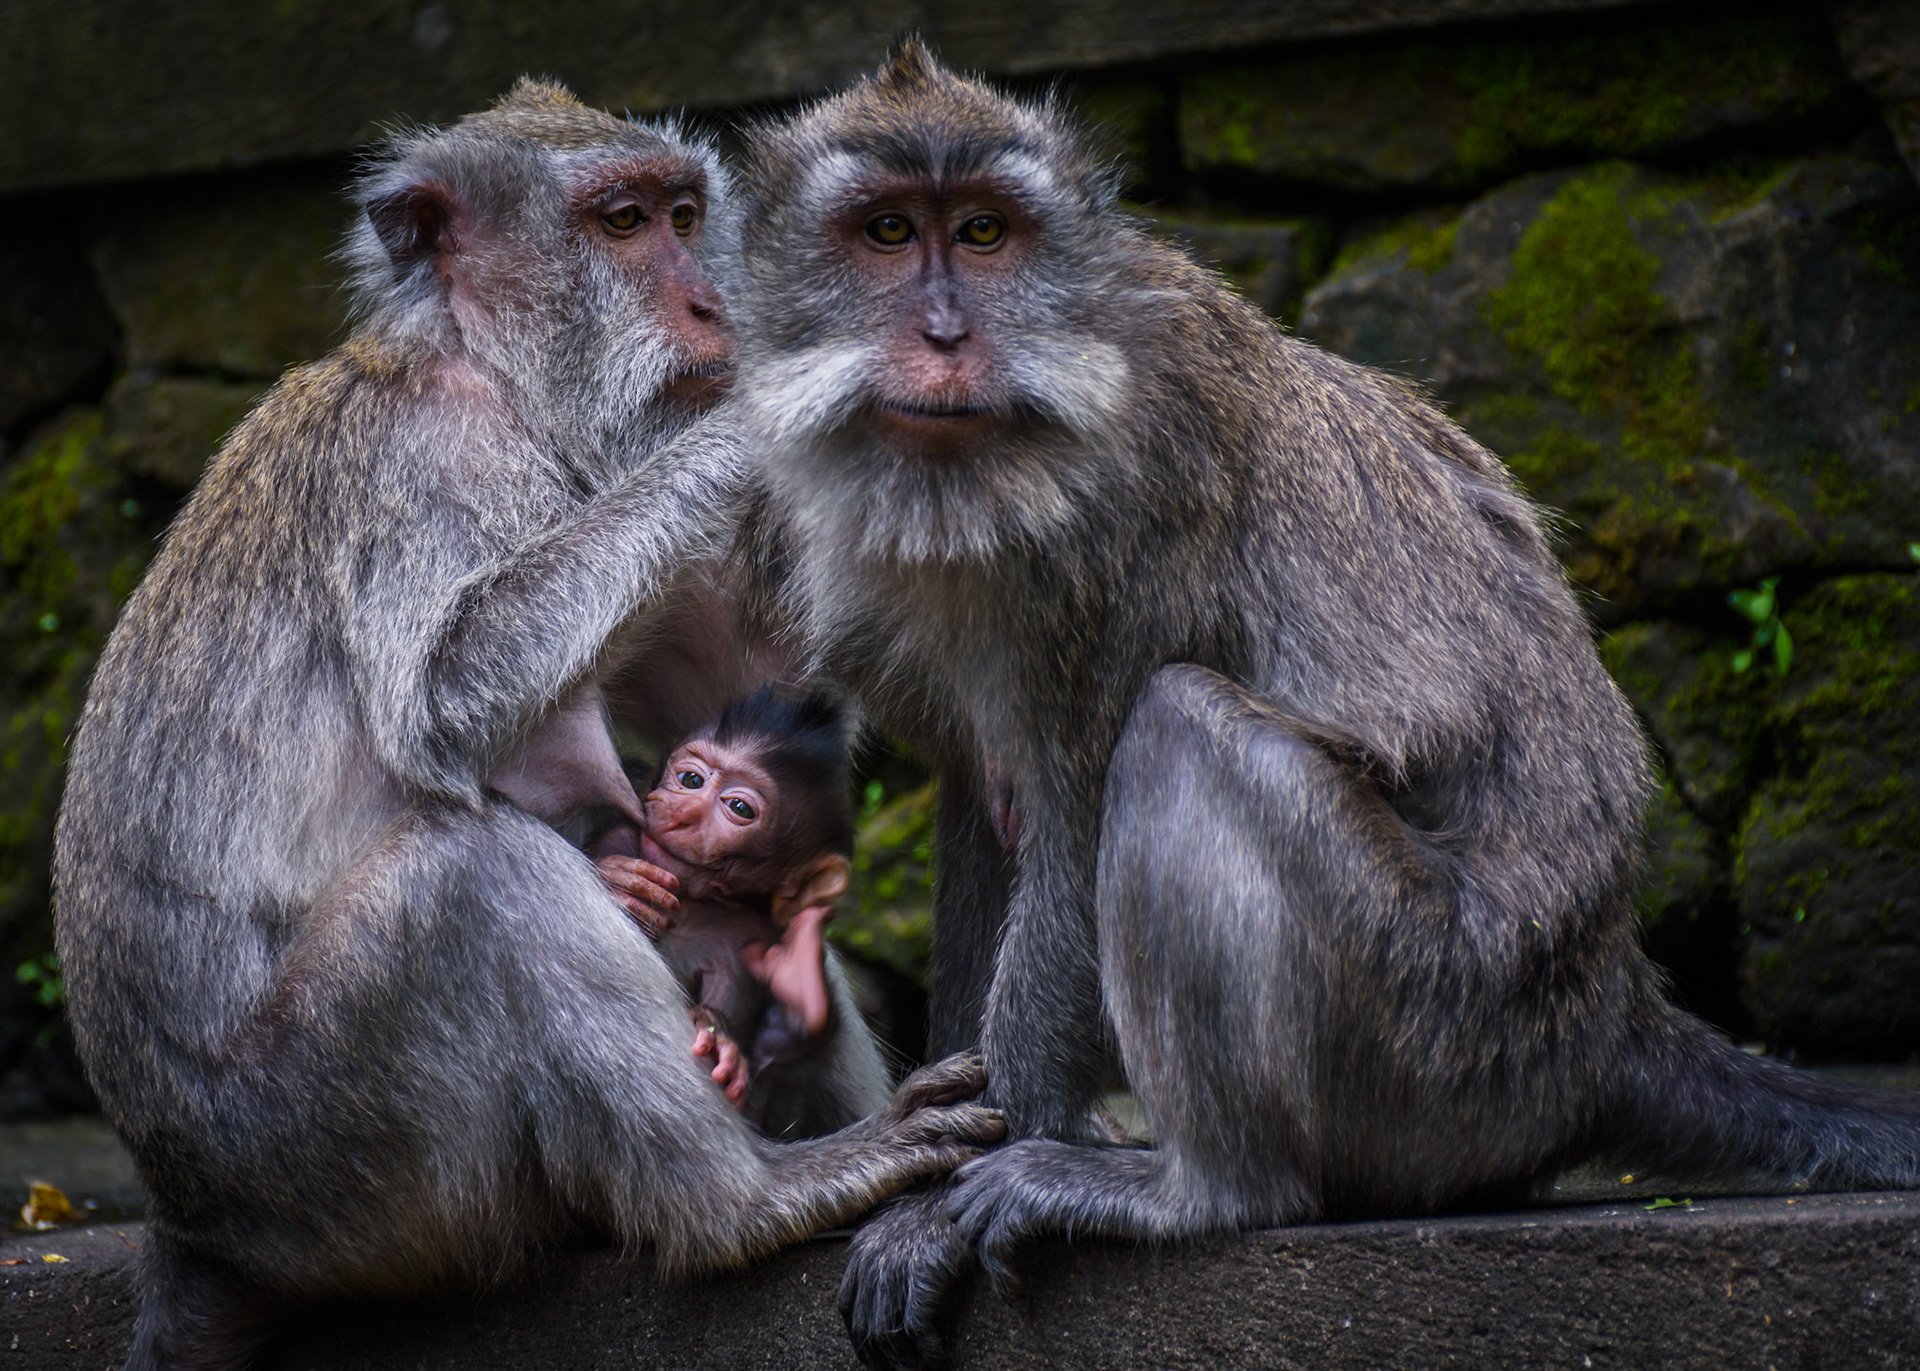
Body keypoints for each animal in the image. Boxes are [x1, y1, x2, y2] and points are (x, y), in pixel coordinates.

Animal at [50, 79, 1001, 1371]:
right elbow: (449, 706)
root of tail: (189, 1230)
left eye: (685, 213)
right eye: (620, 221)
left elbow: (743, 702)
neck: (486, 369)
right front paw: (757, 411)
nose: (712, 303)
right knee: (474, 876)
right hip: (330, 1152)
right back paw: (753, 1201)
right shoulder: (427, 457)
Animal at [724, 43, 1920, 1366]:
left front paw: (940, 1204)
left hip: (1435, 1032)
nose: (944, 332)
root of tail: (1608, 1016)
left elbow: (1078, 819)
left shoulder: (1134, 513)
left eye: (985, 233)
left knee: (1180, 730)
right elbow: (990, 811)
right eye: (889, 232)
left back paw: (1205, 1191)